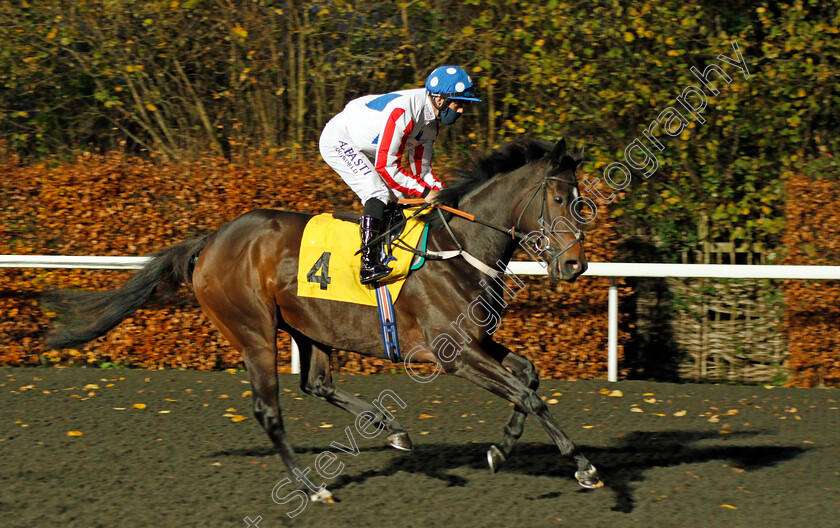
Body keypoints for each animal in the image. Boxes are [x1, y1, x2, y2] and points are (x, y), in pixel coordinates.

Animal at [44, 136, 604, 504]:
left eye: (580, 199)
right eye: (559, 198)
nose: (576, 265)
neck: (458, 249)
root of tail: (212, 241)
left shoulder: (476, 341)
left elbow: (528, 377)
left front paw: (500, 451)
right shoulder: (454, 354)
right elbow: (527, 394)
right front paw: (583, 467)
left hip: (308, 326)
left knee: (316, 383)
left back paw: (390, 428)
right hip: (252, 330)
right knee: (269, 410)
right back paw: (310, 488)